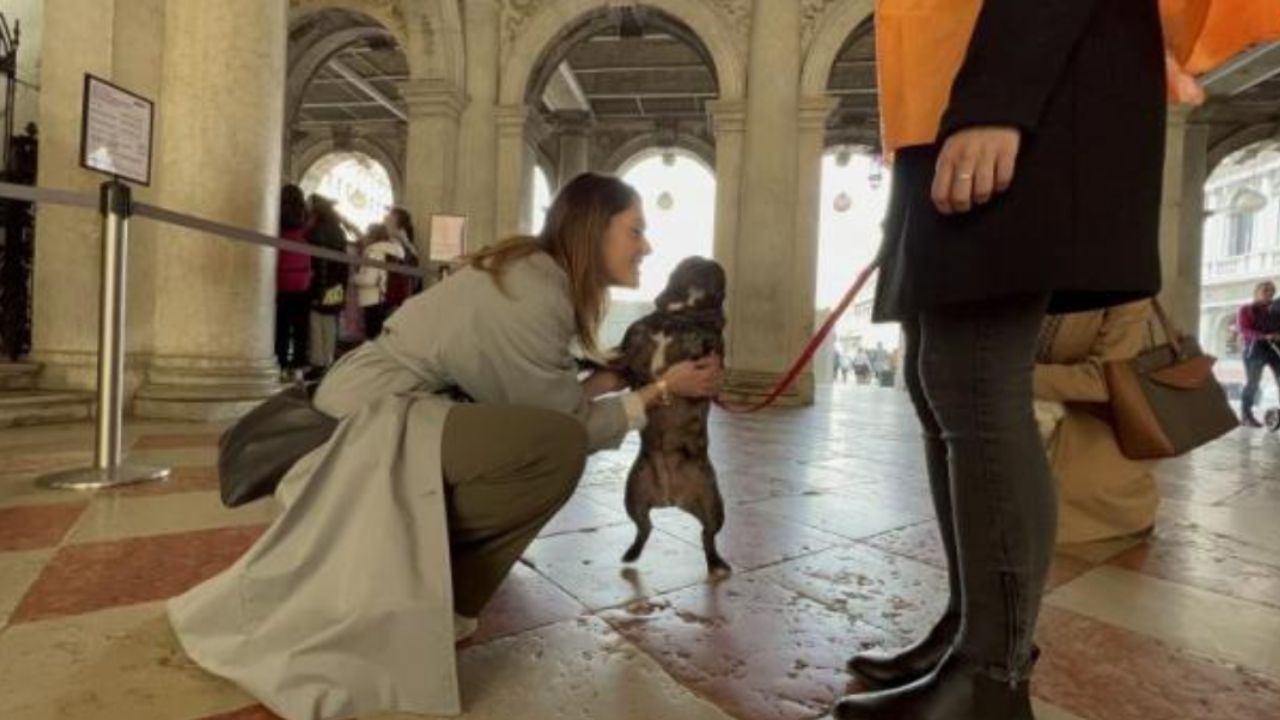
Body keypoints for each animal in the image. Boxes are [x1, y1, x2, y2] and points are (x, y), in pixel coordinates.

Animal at [616, 254, 737, 573]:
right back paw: (632, 553)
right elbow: (618, 355)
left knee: (708, 535)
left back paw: (716, 562)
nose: (705, 258)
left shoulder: (712, 341)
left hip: (713, 503)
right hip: (633, 493)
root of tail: (671, 498)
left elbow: (713, 343)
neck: (679, 316)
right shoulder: (629, 344)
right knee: (644, 527)